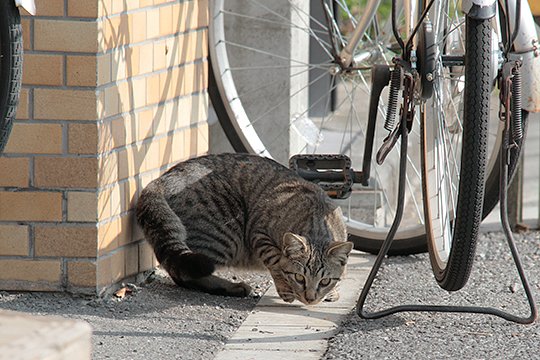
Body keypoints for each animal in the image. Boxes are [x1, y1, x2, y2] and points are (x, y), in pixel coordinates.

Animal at [137, 153, 352, 306]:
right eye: (299, 278)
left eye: (325, 281)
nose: (310, 298)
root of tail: (161, 179)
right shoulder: (258, 233)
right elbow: (275, 260)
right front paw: (285, 288)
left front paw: (331, 292)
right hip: (224, 234)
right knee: (183, 274)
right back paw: (233, 287)